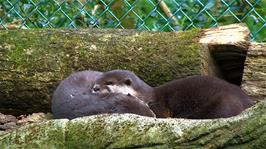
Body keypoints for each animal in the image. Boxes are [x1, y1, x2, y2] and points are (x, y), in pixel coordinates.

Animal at [93, 69, 254, 118]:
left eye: (109, 83)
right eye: (97, 80)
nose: (95, 88)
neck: (147, 97)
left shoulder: (158, 107)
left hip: (225, 100)